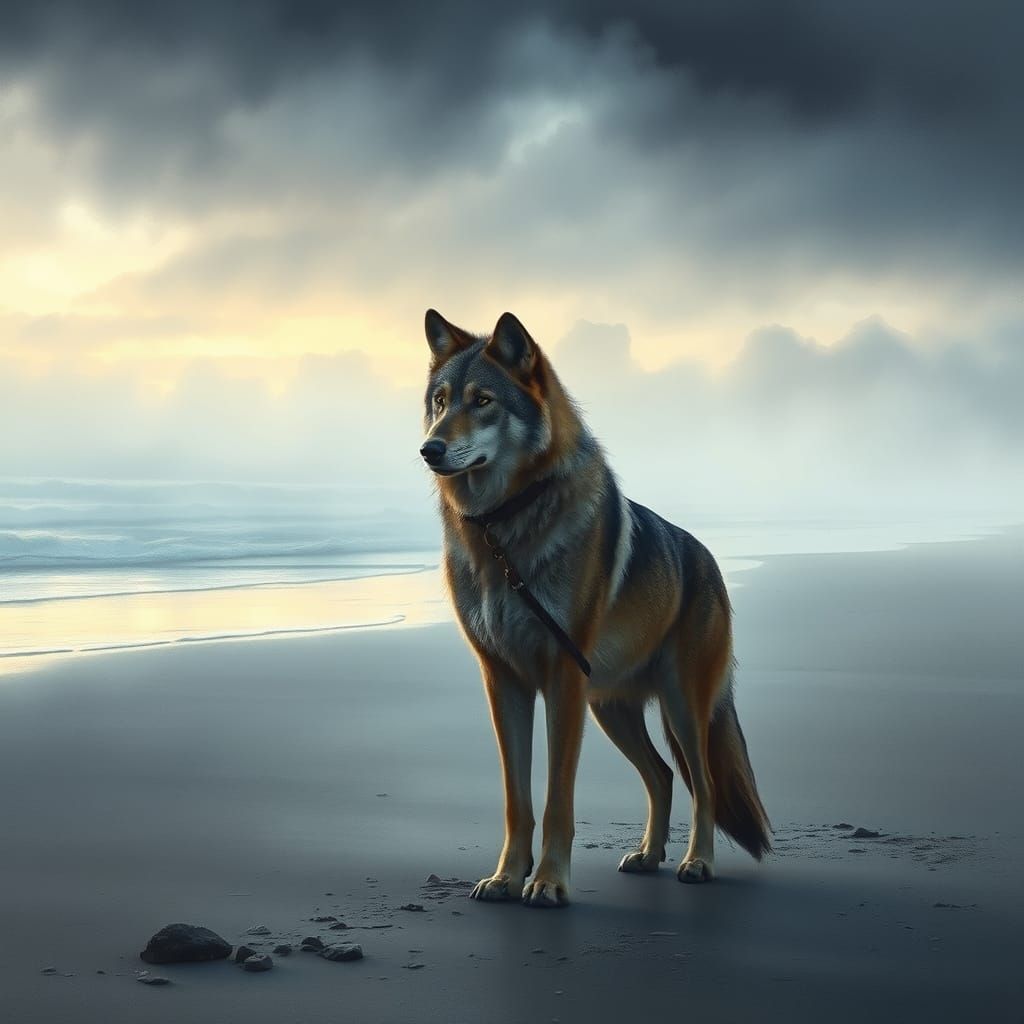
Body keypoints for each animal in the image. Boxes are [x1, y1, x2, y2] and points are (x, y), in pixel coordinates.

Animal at [420, 309, 770, 908]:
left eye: (483, 401)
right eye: (441, 402)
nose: (429, 449)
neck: (502, 533)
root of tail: (709, 561)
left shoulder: (563, 678)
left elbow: (558, 798)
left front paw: (549, 882)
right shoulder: (503, 681)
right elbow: (518, 800)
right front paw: (506, 877)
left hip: (680, 706)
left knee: (702, 784)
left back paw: (697, 862)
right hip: (611, 710)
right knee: (662, 776)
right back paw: (649, 856)